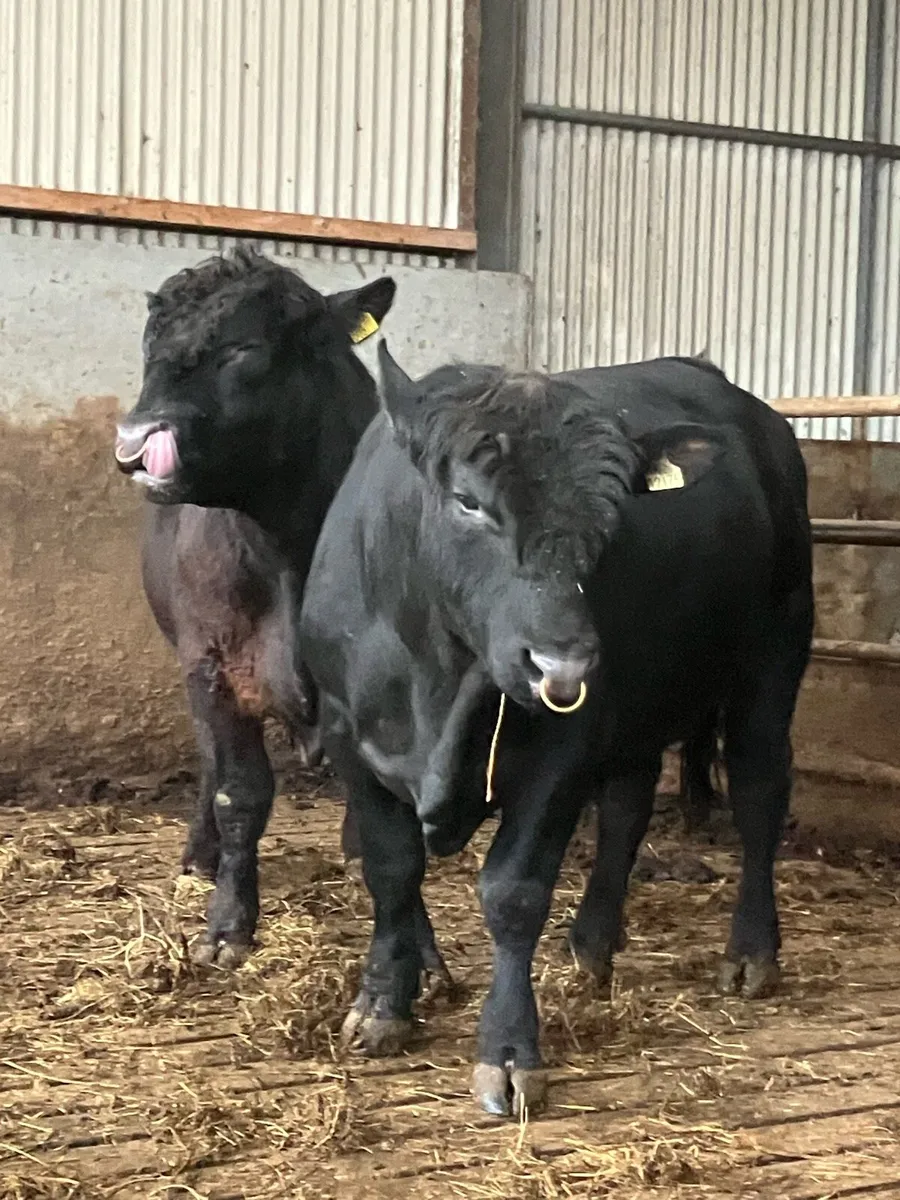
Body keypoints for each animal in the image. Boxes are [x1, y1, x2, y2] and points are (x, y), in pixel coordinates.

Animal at [113, 246, 395, 965]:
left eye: (243, 347)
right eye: (150, 346)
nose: (134, 441)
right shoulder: (211, 663)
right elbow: (237, 791)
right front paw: (228, 926)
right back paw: (201, 853)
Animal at [298, 345, 813, 1117]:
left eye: (613, 512)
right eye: (468, 500)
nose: (563, 661)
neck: (436, 673)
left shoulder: (561, 751)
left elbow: (513, 893)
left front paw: (509, 1051)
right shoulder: (347, 738)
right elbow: (389, 869)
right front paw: (384, 1005)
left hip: (772, 662)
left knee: (758, 792)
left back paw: (751, 952)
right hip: (642, 704)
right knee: (628, 809)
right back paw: (593, 945)